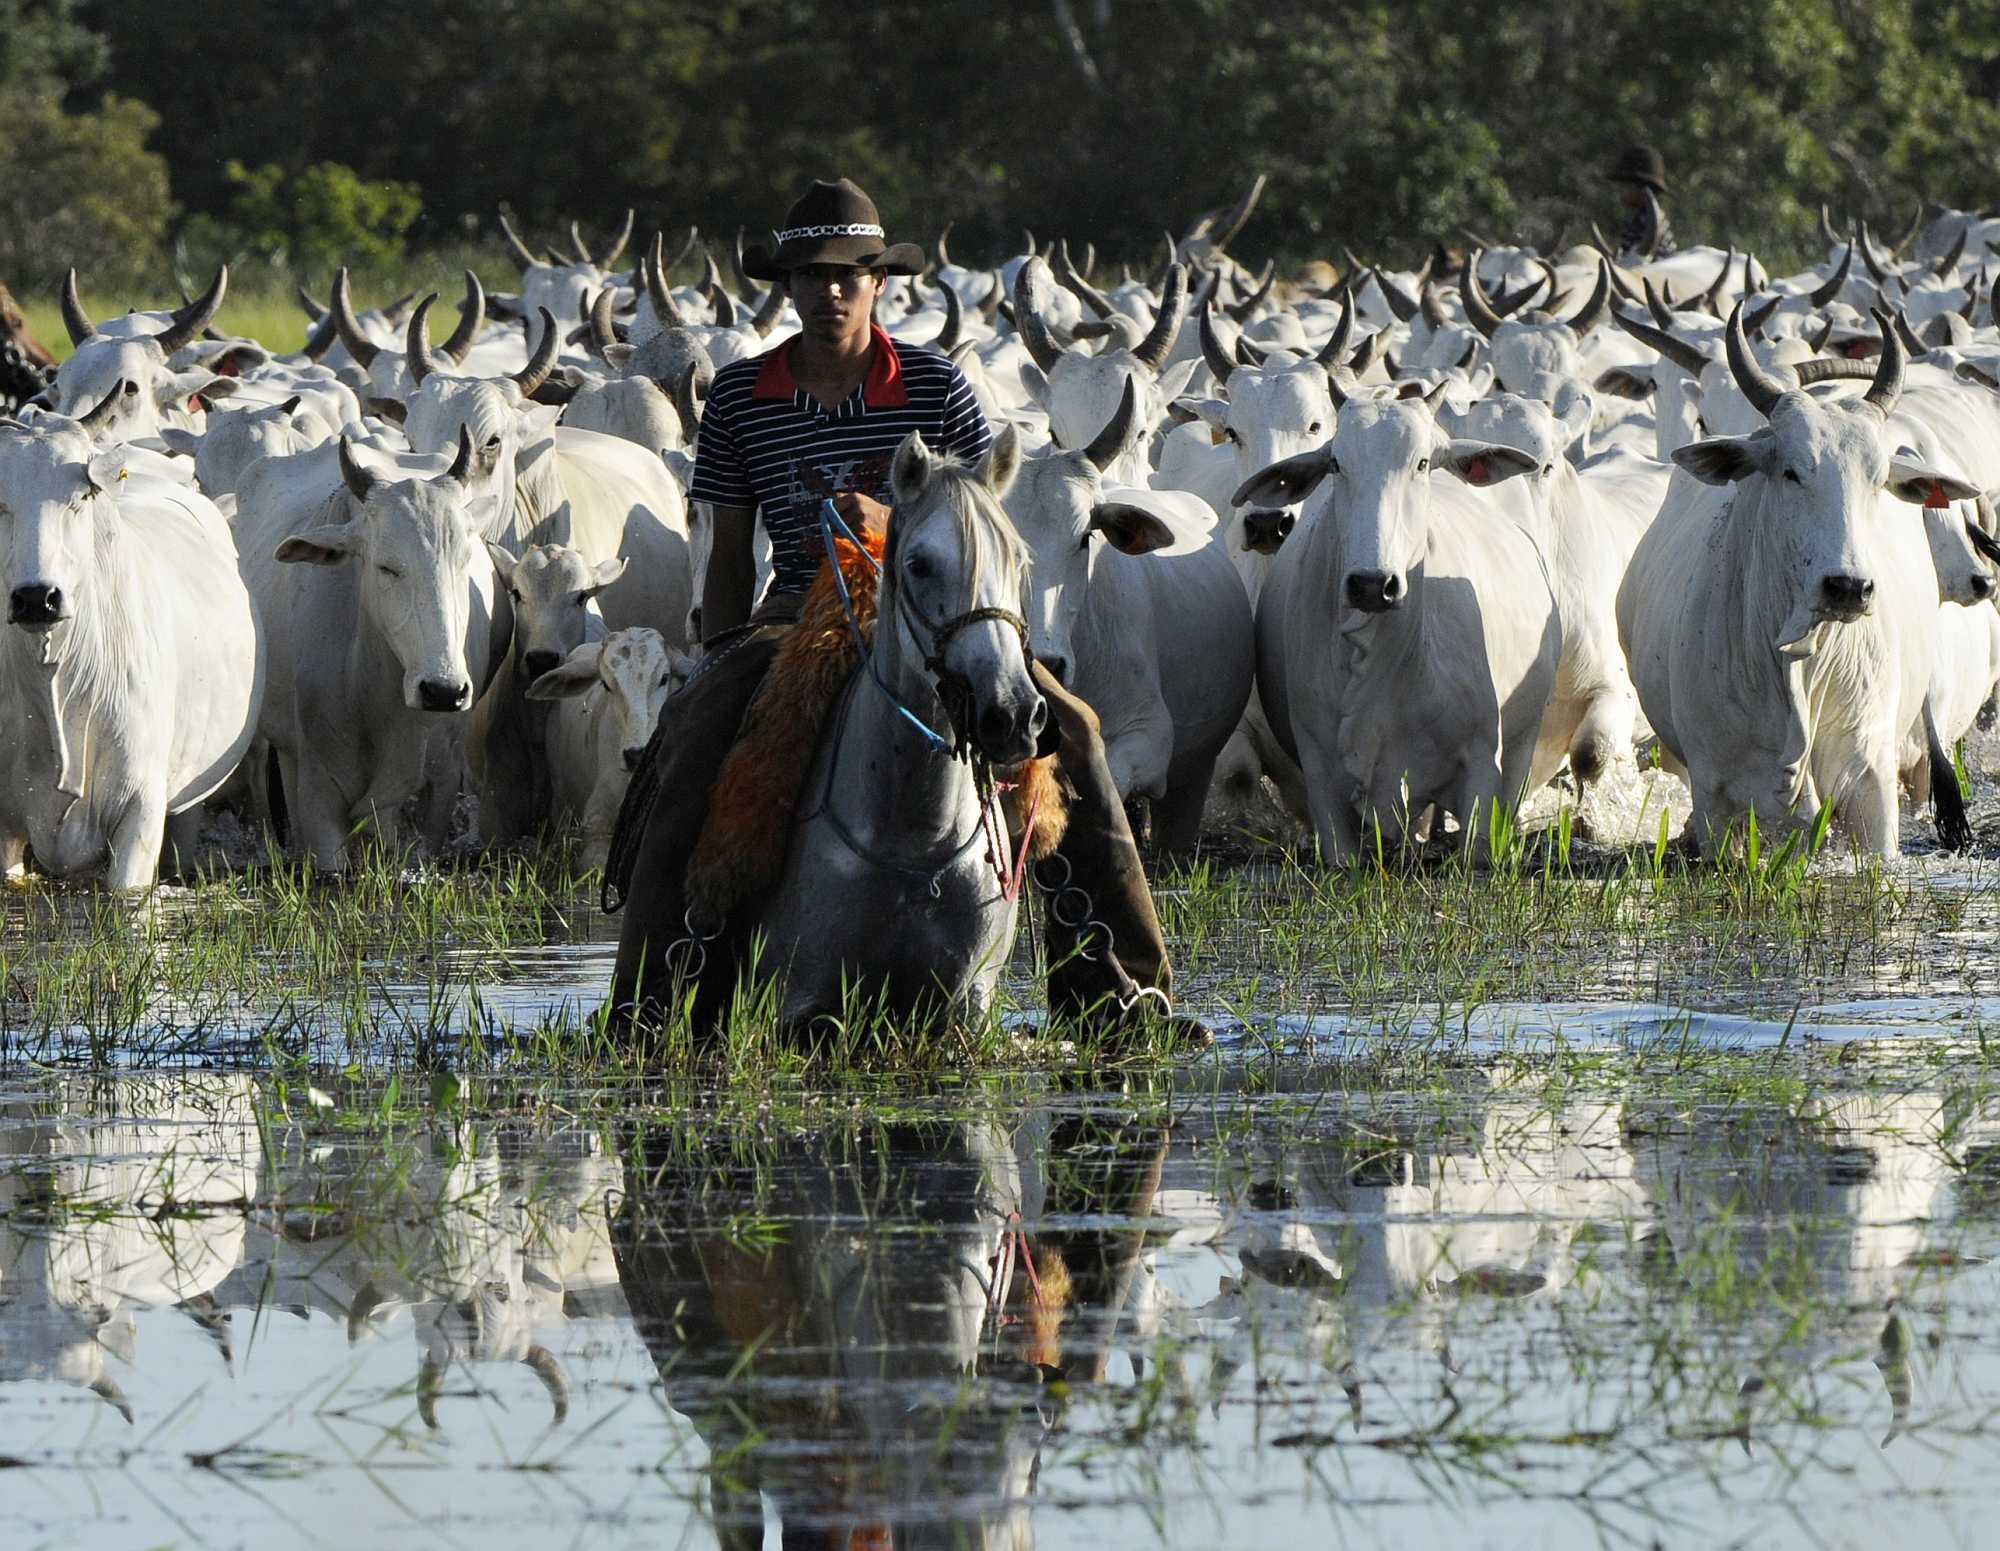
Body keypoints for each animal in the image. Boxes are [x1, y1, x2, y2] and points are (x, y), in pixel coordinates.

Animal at [1240, 379, 1568, 855]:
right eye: (1336, 462)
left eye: (1423, 462)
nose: (1372, 584)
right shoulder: (1321, 777)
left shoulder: (1481, 765)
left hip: (1522, 745)